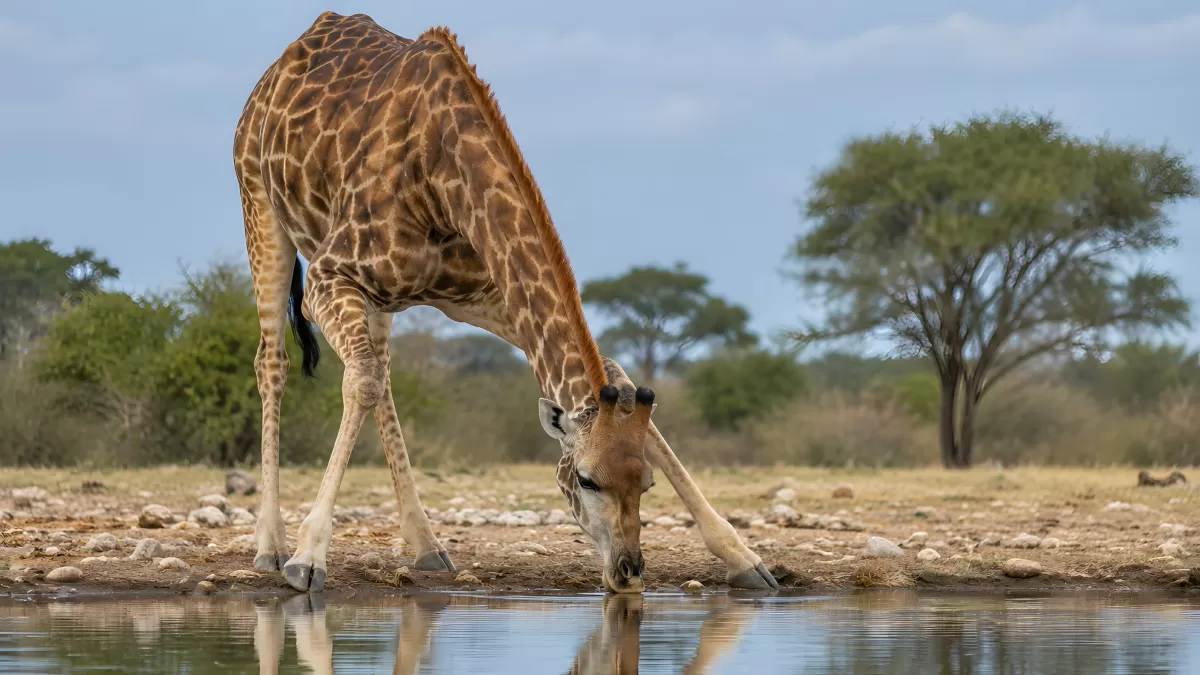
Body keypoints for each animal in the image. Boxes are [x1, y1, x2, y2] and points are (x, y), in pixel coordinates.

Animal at [233, 11, 777, 594]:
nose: (628, 571)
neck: (443, 177)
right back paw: (271, 546)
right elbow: (358, 383)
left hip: (381, 298)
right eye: (586, 480)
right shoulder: (328, 278)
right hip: (261, 207)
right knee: (276, 363)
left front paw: (745, 558)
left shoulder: (487, 293)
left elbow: (618, 378)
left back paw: (426, 546)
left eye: (647, 482)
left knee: (380, 372)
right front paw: (307, 558)